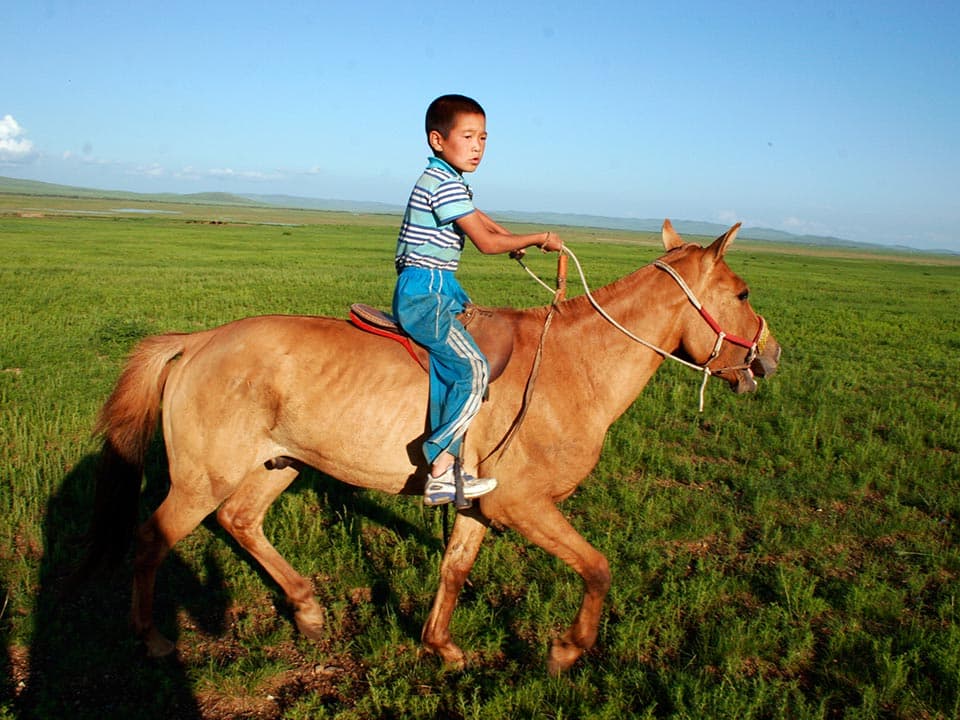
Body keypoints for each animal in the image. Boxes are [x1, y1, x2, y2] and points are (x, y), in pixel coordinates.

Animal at [87, 219, 780, 675]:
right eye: (743, 293)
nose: (770, 357)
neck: (574, 365)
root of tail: (198, 341)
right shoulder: (524, 506)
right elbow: (597, 568)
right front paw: (565, 651)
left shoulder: (482, 506)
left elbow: (454, 569)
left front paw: (440, 646)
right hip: (203, 477)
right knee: (153, 538)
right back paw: (152, 639)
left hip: (276, 464)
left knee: (241, 521)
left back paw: (307, 610)